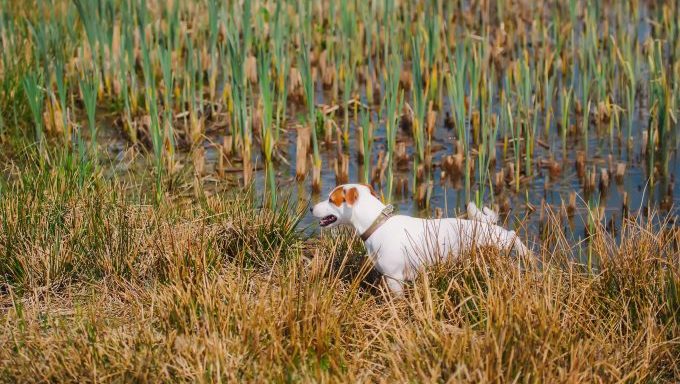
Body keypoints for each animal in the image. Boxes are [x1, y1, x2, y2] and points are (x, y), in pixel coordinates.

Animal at [312, 183, 532, 294]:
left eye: (331, 199)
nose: (311, 208)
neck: (377, 224)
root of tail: (489, 227)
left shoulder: (395, 279)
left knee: (513, 237)